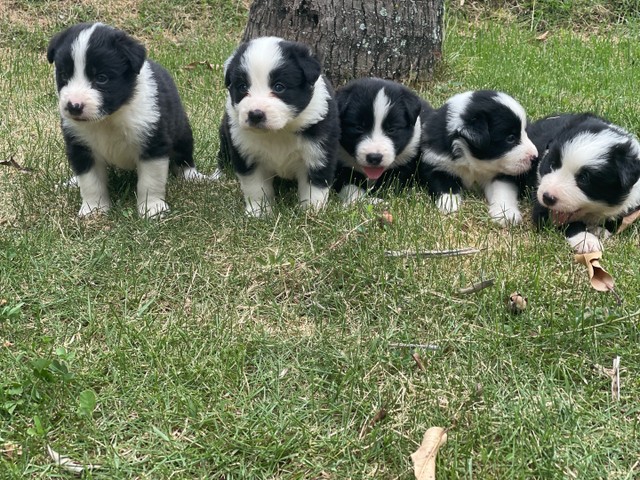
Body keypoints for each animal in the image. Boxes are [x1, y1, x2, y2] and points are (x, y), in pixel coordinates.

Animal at [47, 22, 208, 218]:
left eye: (102, 78)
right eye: (64, 75)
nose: (73, 106)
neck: (108, 119)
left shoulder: (153, 143)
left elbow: (150, 181)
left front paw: (152, 209)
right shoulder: (80, 146)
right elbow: (90, 182)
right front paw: (93, 210)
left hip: (182, 131)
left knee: (184, 157)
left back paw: (192, 176)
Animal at [219, 36, 340, 217]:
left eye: (279, 87)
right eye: (242, 87)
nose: (255, 114)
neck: (278, 132)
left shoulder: (318, 152)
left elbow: (315, 186)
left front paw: (311, 212)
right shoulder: (245, 151)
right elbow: (255, 186)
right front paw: (258, 212)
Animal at [420, 91, 540, 226]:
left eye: (525, 132)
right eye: (510, 138)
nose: (535, 157)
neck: (472, 162)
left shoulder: (503, 174)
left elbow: (503, 189)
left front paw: (506, 214)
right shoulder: (437, 163)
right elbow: (444, 184)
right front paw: (449, 203)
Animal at [528, 114, 640, 253]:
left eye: (583, 179)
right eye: (552, 165)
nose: (547, 197)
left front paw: (599, 229)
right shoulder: (540, 203)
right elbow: (566, 222)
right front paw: (587, 240)